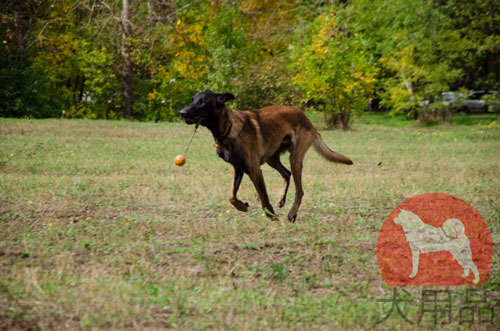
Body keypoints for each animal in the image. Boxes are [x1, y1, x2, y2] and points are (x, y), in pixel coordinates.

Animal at [180, 89, 352, 222]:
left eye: (202, 101)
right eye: (192, 100)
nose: (182, 112)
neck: (228, 129)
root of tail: (308, 121)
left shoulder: (254, 170)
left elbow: (263, 197)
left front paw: (271, 216)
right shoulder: (239, 169)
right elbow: (231, 196)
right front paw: (242, 206)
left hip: (295, 159)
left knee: (299, 191)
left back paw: (292, 214)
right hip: (272, 158)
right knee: (286, 173)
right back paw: (282, 199)